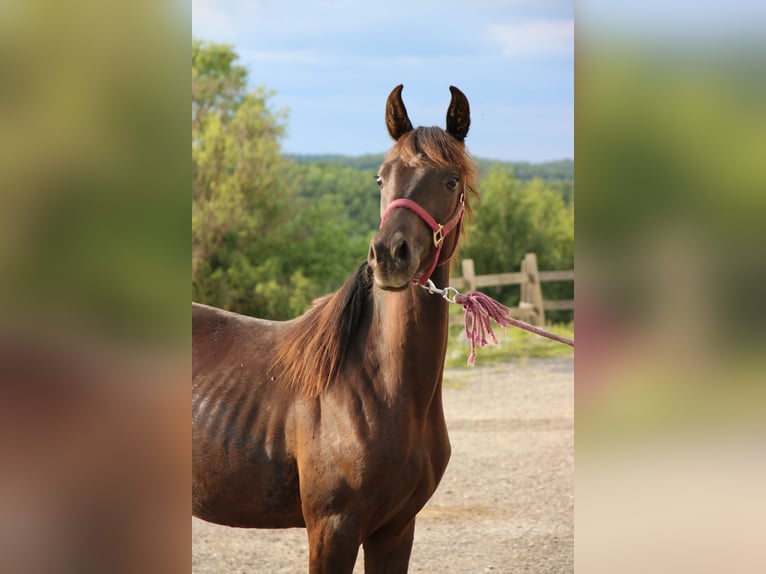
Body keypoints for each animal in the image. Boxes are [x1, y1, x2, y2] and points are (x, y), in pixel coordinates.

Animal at [194, 83, 480, 572]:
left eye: (451, 180)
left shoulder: (395, 531)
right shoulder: (333, 530)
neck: (378, 386)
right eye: (381, 178)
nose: (389, 255)